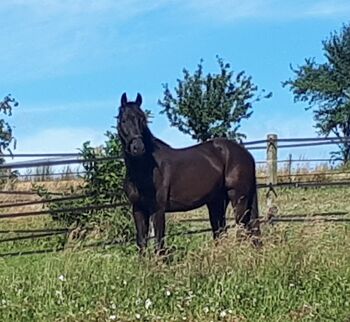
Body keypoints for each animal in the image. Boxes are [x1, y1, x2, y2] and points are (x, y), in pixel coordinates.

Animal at [117, 92, 260, 253]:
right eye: (123, 120)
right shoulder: (138, 209)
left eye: (142, 119)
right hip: (217, 201)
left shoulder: (158, 209)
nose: (138, 148)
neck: (145, 168)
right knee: (222, 233)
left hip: (238, 198)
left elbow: (159, 243)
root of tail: (247, 154)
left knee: (242, 231)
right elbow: (142, 243)